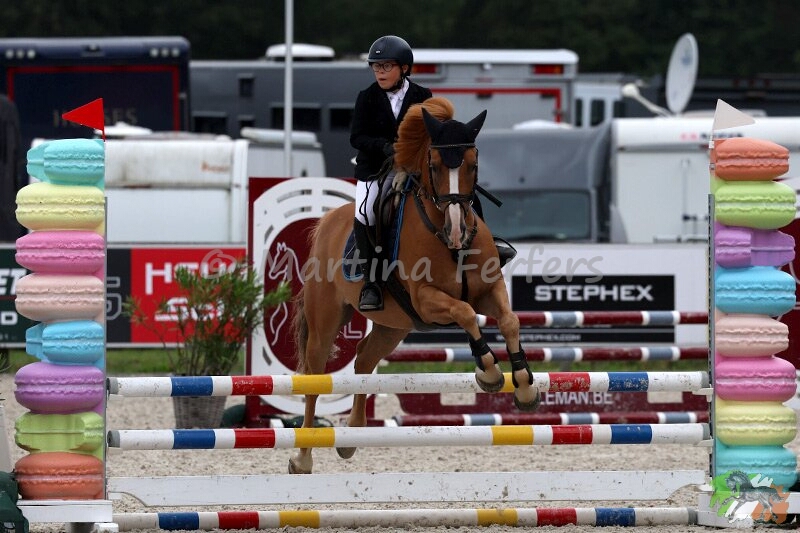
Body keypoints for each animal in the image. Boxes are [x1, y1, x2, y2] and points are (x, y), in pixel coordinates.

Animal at [289, 96, 539, 474]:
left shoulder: (489, 290)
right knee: (314, 381)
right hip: (326, 323)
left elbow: (508, 320)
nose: (456, 231)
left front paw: (524, 387)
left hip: (394, 326)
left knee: (364, 359)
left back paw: (352, 435)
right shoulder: (426, 300)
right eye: (434, 167)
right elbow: (465, 313)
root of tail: (327, 221)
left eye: (474, 164)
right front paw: (490, 373)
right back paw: (303, 457)